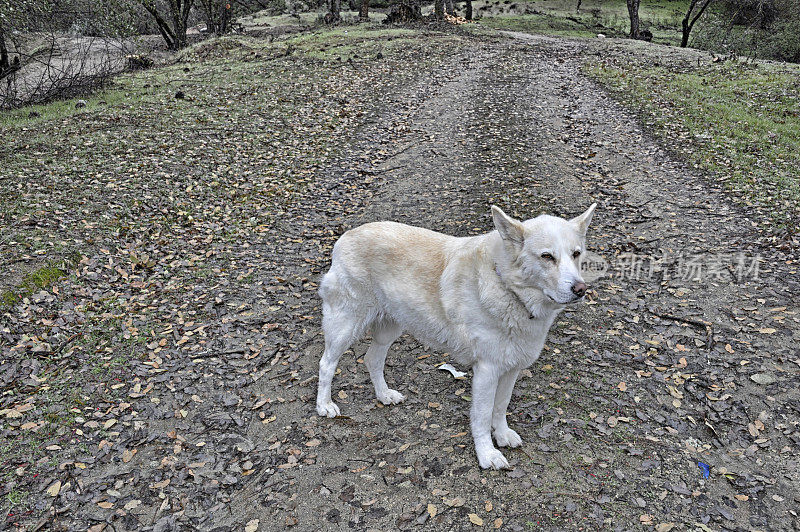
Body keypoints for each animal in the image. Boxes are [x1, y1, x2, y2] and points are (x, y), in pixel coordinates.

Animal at [316, 204, 596, 470]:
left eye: (576, 254)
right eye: (547, 256)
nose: (580, 289)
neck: (508, 287)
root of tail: (347, 235)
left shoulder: (511, 368)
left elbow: (501, 406)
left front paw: (502, 434)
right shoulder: (487, 371)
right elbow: (482, 416)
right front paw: (487, 454)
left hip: (389, 329)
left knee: (372, 359)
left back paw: (384, 395)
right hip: (345, 326)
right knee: (326, 364)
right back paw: (324, 405)